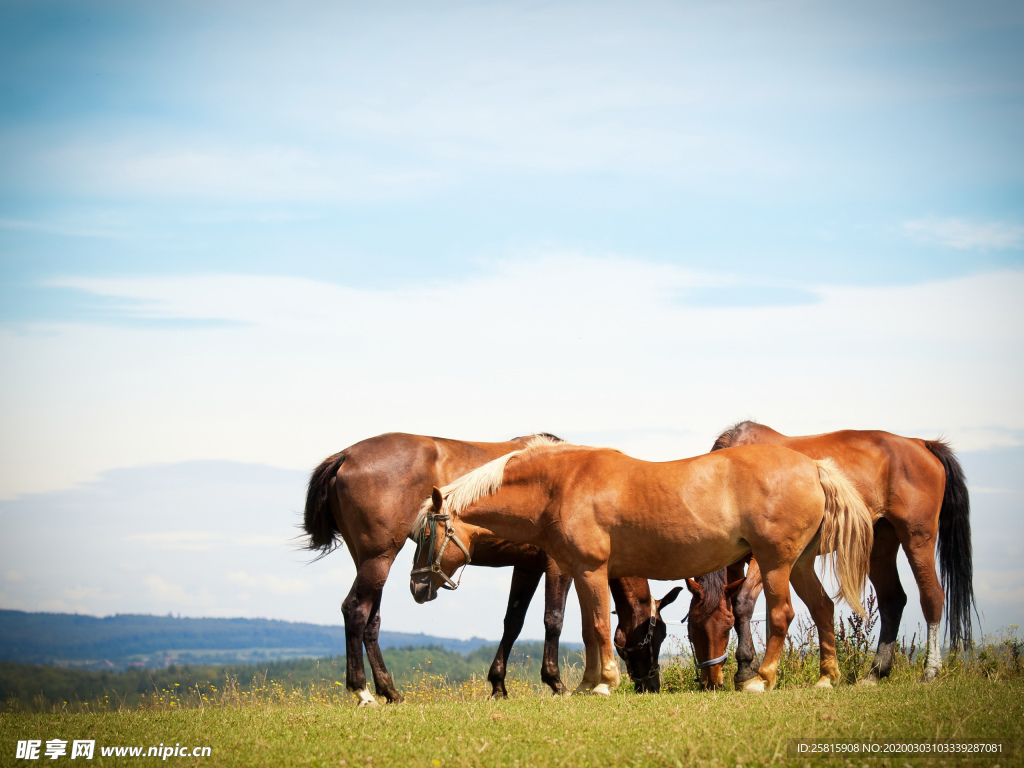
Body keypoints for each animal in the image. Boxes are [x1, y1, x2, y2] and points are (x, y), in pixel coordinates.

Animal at [299, 430, 675, 708]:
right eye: (655, 636)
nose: (651, 685)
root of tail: (346, 456)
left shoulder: (526, 566)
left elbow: (513, 622)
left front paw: (498, 685)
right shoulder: (558, 567)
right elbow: (553, 620)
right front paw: (556, 683)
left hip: (368, 560)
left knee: (371, 620)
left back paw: (390, 691)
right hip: (379, 558)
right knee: (355, 610)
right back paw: (362, 692)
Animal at [411, 438, 876, 696]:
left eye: (424, 536)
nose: (416, 588)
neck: (560, 485)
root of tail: (813, 467)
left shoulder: (591, 571)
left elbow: (598, 626)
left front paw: (604, 683)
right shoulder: (584, 572)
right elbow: (589, 629)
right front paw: (587, 683)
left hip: (776, 563)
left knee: (782, 614)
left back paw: (760, 679)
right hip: (800, 564)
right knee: (823, 609)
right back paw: (826, 677)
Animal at [704, 423, 974, 688]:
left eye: (725, 628)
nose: (710, 682)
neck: (728, 480)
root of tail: (921, 443)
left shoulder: (767, 556)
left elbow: (744, 603)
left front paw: (746, 670)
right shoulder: (737, 562)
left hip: (917, 537)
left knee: (932, 597)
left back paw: (931, 670)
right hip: (880, 546)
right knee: (893, 600)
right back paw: (875, 673)